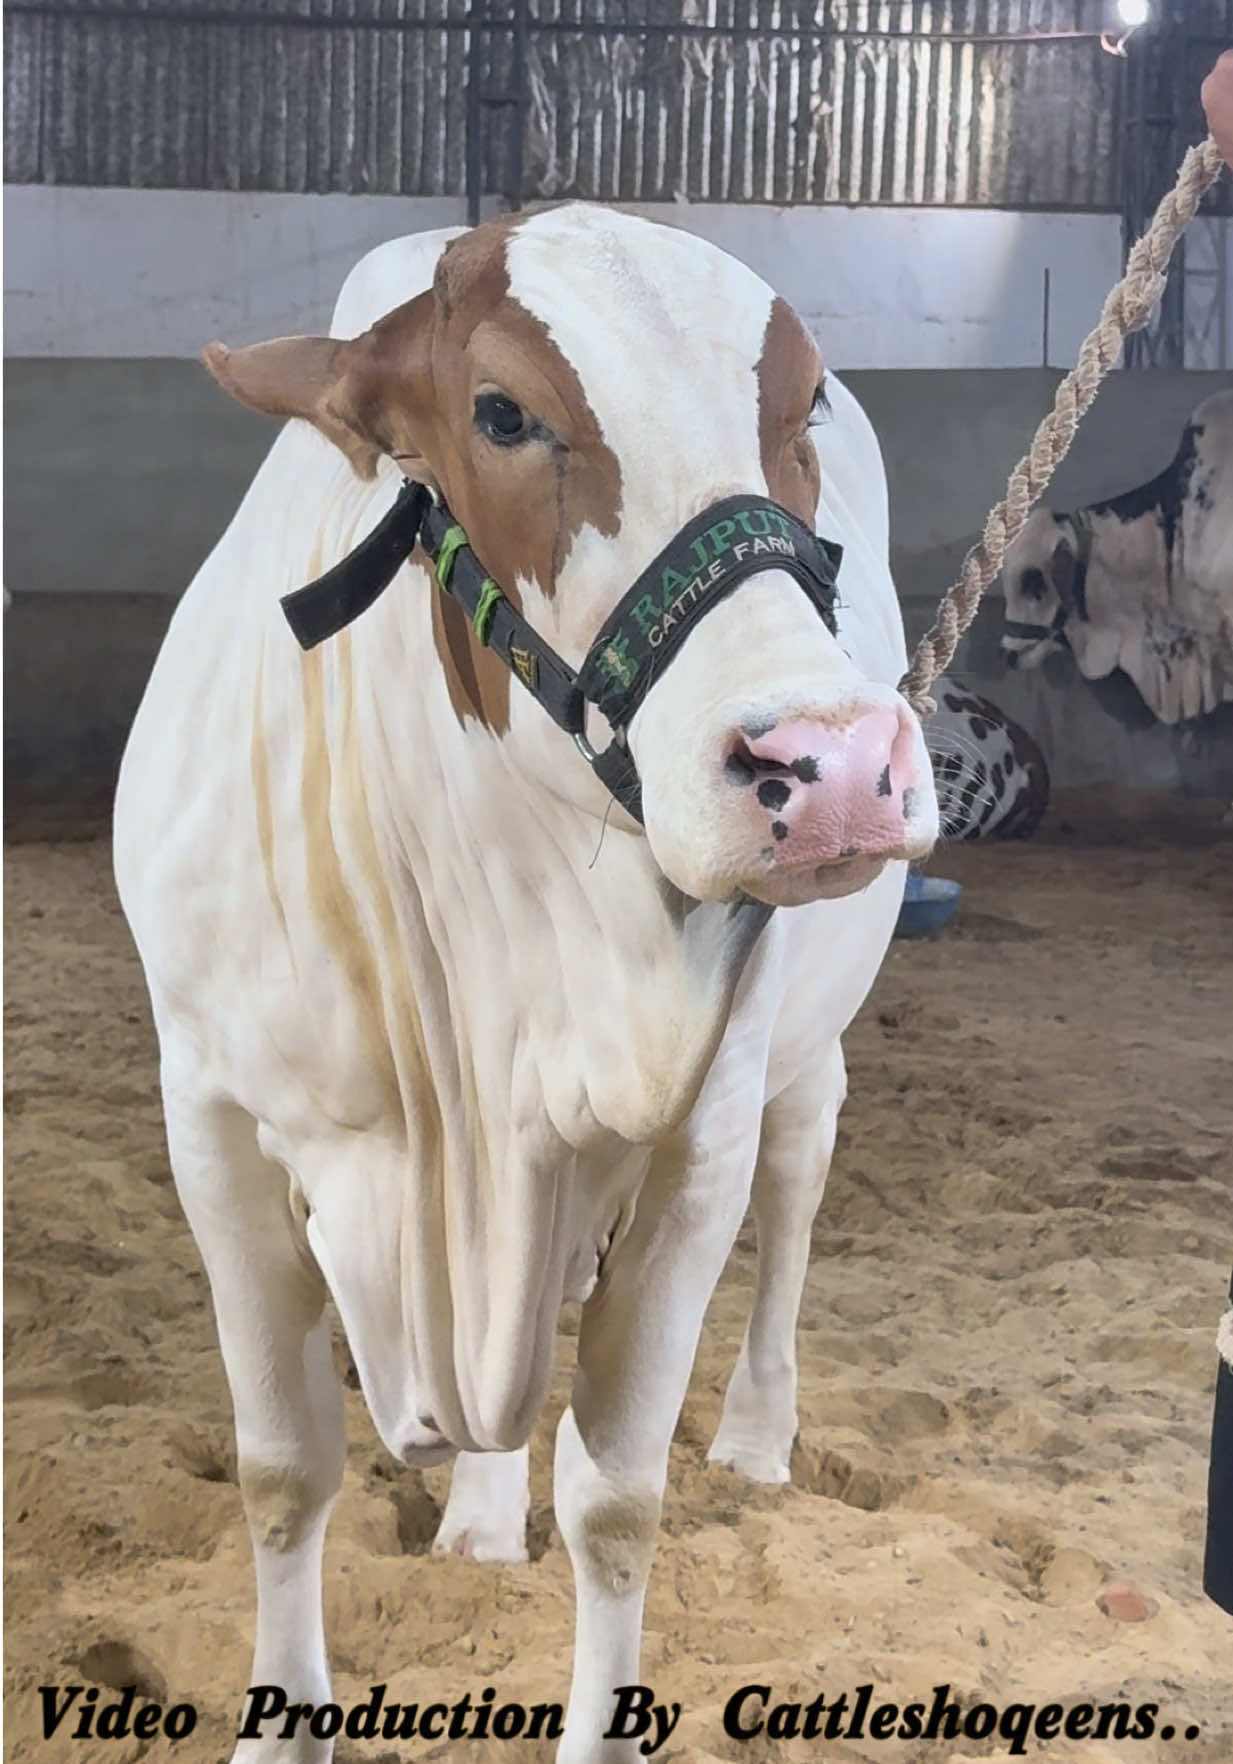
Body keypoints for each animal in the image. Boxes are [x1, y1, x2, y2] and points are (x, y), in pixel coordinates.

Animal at [112, 206, 939, 1763]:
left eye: (801, 404)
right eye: (501, 413)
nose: (835, 765)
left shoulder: (696, 1135)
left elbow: (615, 1503)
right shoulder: (213, 1116)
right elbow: (281, 1470)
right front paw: (280, 1720)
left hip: (800, 1067)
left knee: (798, 1190)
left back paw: (755, 1432)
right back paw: (481, 1520)